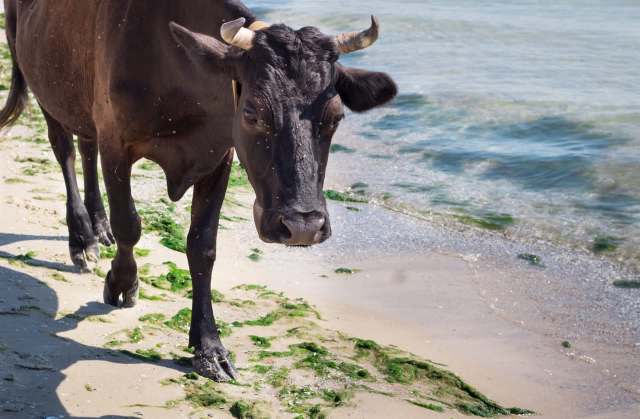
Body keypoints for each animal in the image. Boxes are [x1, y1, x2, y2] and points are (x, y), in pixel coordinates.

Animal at [0, 0, 397, 382]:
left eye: (336, 117)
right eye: (252, 113)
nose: (303, 226)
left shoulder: (219, 156)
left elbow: (203, 245)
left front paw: (208, 348)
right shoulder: (116, 140)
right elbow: (129, 223)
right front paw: (123, 282)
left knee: (85, 145)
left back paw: (98, 226)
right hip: (38, 74)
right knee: (64, 148)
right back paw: (82, 237)